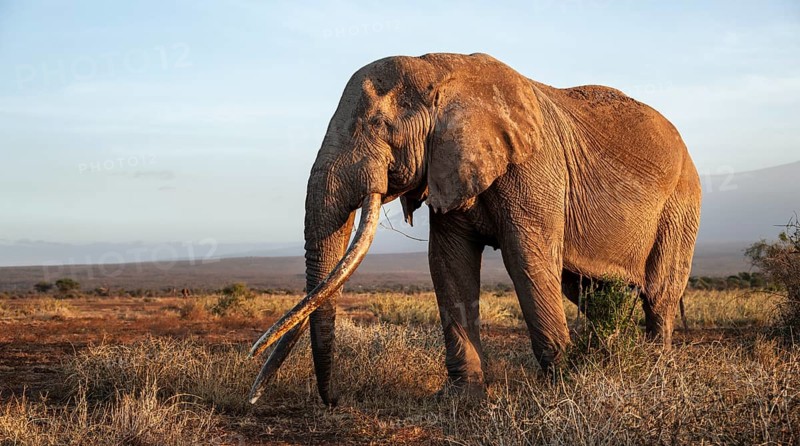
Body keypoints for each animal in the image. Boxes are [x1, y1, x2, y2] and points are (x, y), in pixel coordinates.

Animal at [247, 53, 702, 406]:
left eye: (377, 126)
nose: (335, 400)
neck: (442, 70)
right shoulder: (448, 163)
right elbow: (449, 263)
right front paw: (462, 398)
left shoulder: (534, 167)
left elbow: (527, 261)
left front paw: (561, 390)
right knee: (589, 292)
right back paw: (610, 360)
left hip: (681, 207)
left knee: (659, 295)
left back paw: (652, 372)